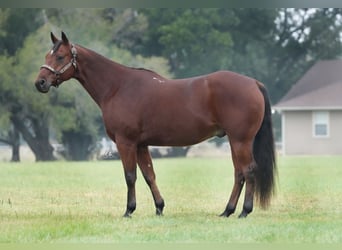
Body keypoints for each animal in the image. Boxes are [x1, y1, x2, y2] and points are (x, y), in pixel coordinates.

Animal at [34, 32, 276, 218]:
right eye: (47, 55)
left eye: (60, 56)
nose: (40, 83)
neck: (118, 86)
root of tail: (253, 83)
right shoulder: (141, 145)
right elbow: (149, 175)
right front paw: (159, 208)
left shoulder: (126, 142)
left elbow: (130, 176)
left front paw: (129, 211)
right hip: (235, 141)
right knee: (239, 173)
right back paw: (227, 211)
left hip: (240, 140)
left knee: (248, 171)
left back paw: (244, 211)